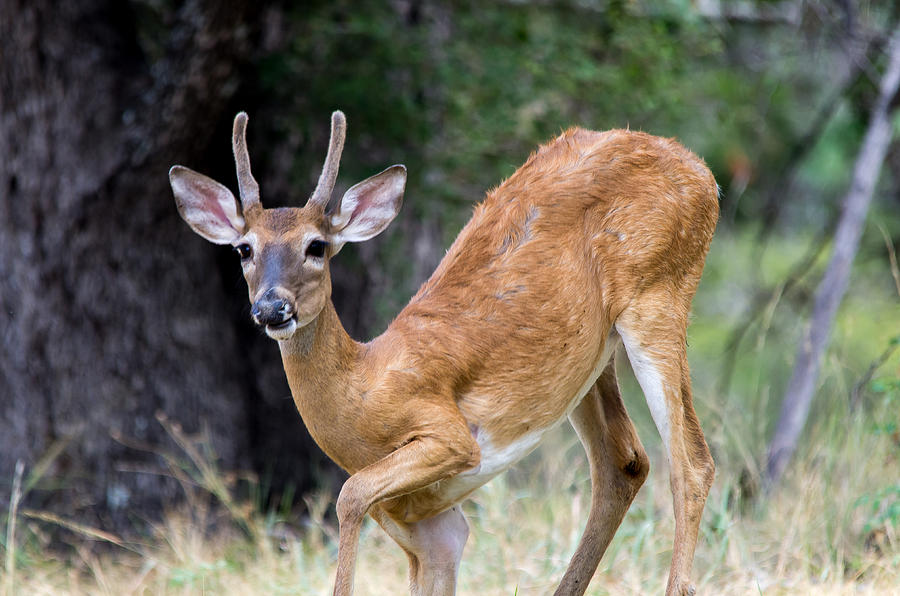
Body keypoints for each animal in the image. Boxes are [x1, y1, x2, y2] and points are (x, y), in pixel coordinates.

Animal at [169, 112, 716, 596]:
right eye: (243, 249)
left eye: (317, 246)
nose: (271, 308)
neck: (364, 390)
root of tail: (700, 169)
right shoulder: (431, 529)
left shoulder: (447, 433)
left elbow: (348, 495)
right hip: (589, 358)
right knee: (624, 462)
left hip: (657, 296)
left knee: (691, 461)